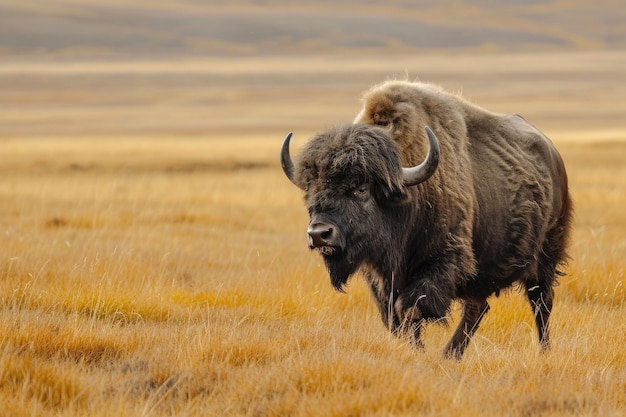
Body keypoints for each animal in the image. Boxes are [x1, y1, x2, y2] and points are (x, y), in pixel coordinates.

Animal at [280, 80, 568, 358]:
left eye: (361, 188)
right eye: (311, 189)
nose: (319, 234)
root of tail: (553, 154)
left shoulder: (441, 264)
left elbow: (411, 310)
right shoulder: (381, 278)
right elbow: (397, 320)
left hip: (545, 259)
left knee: (541, 304)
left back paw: (543, 352)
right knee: (479, 308)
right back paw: (451, 354)